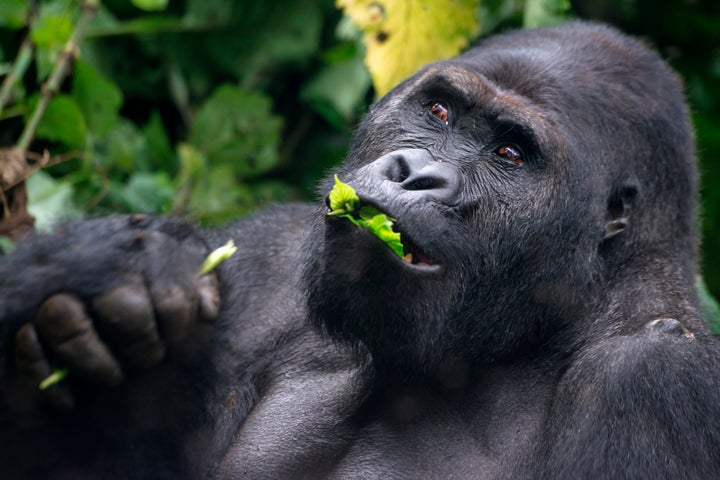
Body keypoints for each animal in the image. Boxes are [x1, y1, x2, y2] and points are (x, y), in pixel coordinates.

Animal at [1, 20, 720, 478]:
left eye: (511, 153)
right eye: (438, 111)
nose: (413, 173)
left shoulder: (653, 381)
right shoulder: (270, 254)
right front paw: (113, 289)